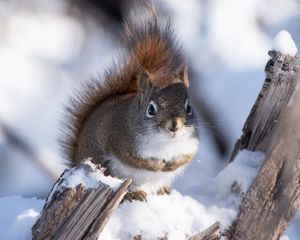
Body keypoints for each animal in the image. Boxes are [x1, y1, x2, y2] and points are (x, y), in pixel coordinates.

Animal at [61, 7, 199, 202]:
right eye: (151, 109)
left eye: (188, 108)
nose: (174, 125)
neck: (165, 142)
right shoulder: (120, 140)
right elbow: (135, 160)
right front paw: (157, 166)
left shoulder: (191, 143)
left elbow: (188, 157)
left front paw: (173, 165)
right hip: (109, 170)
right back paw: (134, 194)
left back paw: (164, 190)